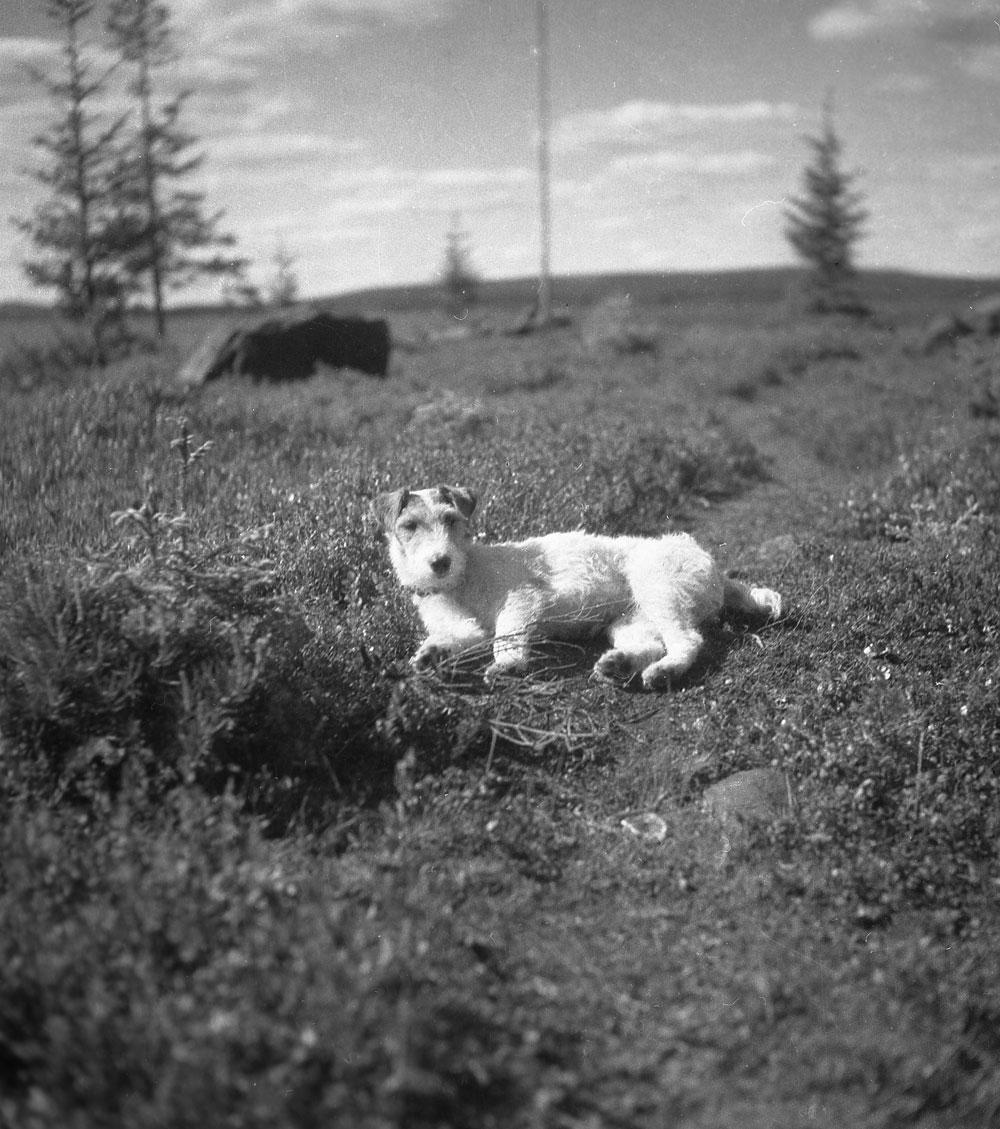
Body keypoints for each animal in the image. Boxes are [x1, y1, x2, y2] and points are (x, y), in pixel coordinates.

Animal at [374, 483, 781, 686]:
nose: (440, 562)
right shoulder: (465, 627)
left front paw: (507, 666)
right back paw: (619, 664)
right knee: (652, 644)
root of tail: (715, 568)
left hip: (658, 589)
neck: (463, 577)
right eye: (409, 526)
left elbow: (506, 637)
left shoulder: (520, 600)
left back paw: (662, 672)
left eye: (451, 519)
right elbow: (457, 637)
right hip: (632, 620)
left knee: (688, 641)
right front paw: (430, 654)